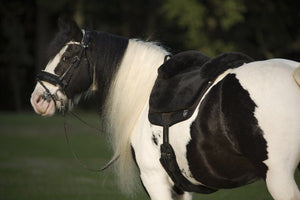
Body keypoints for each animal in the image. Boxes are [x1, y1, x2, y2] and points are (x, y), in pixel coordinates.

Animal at [31, 19, 300, 200]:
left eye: (68, 57)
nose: (37, 100)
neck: (145, 97)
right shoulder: (179, 186)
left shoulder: (155, 179)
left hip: (279, 177)